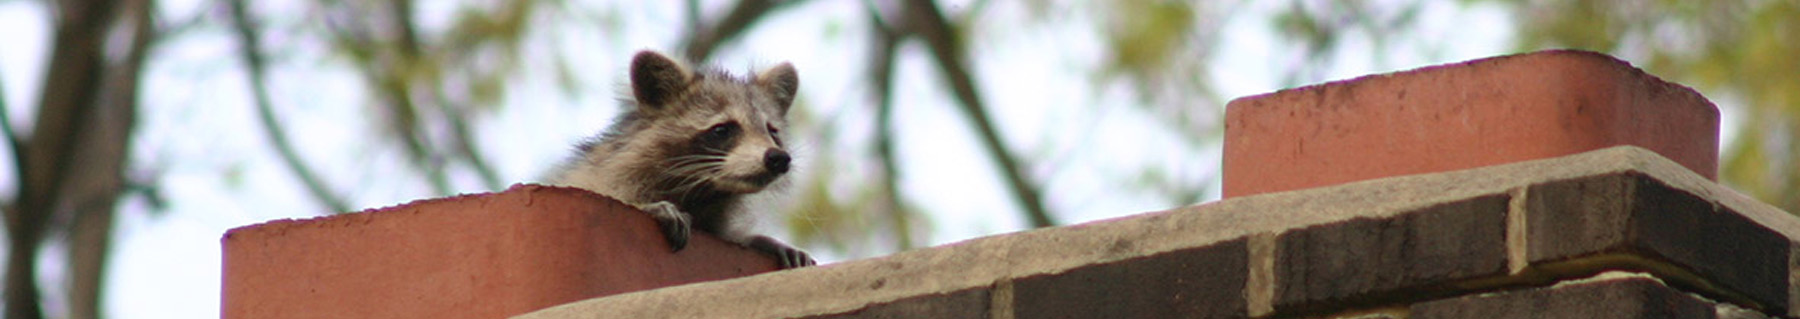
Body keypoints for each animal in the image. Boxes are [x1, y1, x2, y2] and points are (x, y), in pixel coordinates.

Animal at [540, 50, 810, 268]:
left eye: (772, 132)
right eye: (722, 130)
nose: (778, 158)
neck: (704, 192)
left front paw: (761, 240)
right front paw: (651, 207)